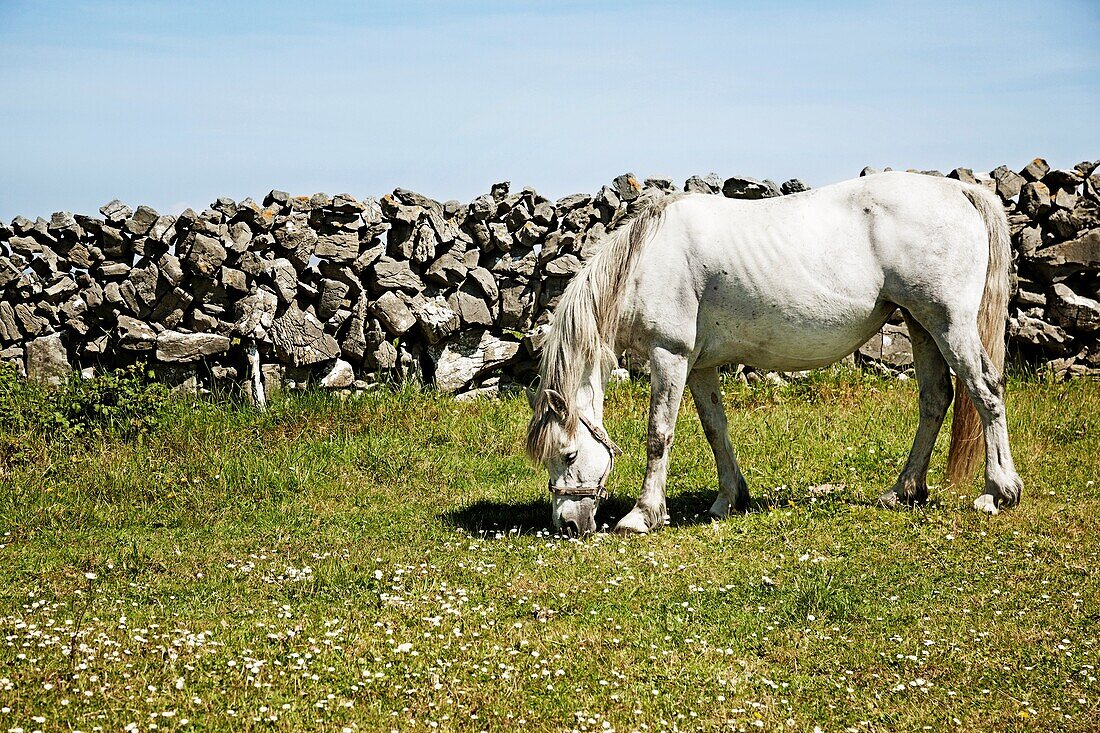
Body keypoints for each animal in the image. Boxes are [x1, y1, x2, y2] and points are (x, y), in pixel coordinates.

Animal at [523, 171, 1020, 537]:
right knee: (935, 400)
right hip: (922, 325)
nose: (567, 525)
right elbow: (715, 429)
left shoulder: (670, 356)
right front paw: (727, 499)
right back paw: (903, 491)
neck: (644, 259)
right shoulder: (700, 366)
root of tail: (961, 190)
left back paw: (997, 492)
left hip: (949, 325)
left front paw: (642, 515)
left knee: (986, 391)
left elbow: (658, 435)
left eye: (568, 454)